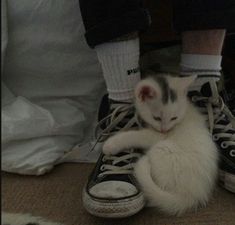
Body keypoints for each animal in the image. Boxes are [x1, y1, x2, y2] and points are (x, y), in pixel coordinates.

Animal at [103, 74, 218, 216]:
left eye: (174, 118)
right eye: (156, 118)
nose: (164, 130)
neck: (186, 111)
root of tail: (191, 195)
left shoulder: (158, 136)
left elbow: (137, 135)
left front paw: (111, 144)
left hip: (161, 149)